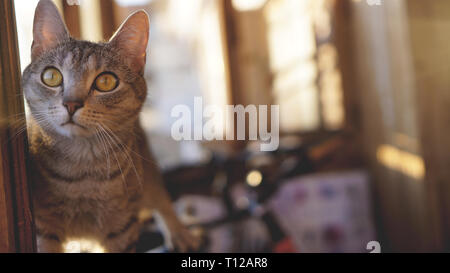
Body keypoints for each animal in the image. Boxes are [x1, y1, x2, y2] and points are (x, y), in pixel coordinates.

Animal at [21, 0, 197, 252]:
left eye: (106, 82)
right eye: (51, 76)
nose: (71, 104)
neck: (81, 173)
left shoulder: (122, 227)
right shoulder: (43, 229)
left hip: (147, 166)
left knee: (160, 197)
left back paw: (179, 232)